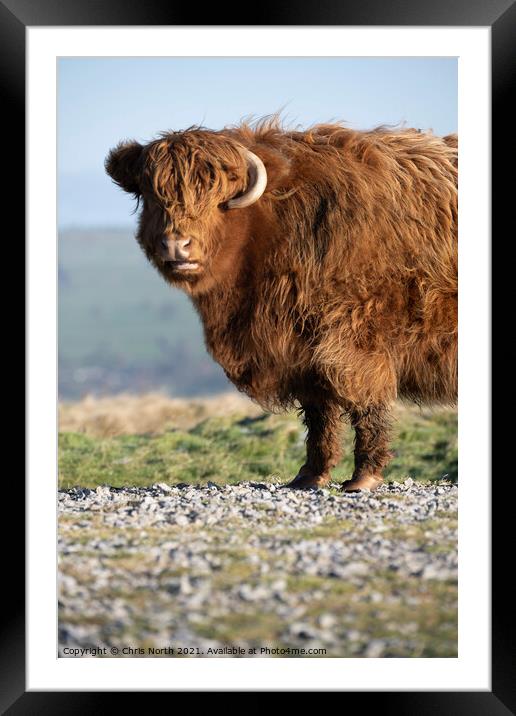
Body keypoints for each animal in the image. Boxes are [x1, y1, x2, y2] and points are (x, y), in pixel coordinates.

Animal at [106, 121, 460, 492]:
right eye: (152, 196)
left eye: (215, 197)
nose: (177, 245)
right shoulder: (299, 353)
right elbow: (319, 415)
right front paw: (311, 475)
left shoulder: (356, 343)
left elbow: (366, 405)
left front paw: (364, 476)